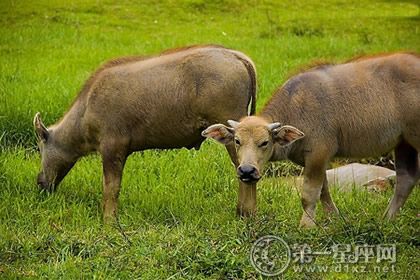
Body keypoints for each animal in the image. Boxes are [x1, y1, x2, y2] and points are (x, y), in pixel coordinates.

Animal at [33, 44, 256, 223]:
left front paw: (109, 221)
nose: (40, 182)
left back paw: (246, 214)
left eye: (40, 147)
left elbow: (111, 188)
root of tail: (238, 56)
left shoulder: (112, 149)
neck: (86, 110)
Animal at [202, 52, 418, 228]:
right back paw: (387, 219)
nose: (246, 171)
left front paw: (306, 226)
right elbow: (324, 191)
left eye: (264, 142)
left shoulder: (318, 154)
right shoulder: (316, 161)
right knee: (406, 179)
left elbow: (309, 194)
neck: (296, 108)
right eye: (237, 141)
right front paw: (334, 219)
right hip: (404, 143)